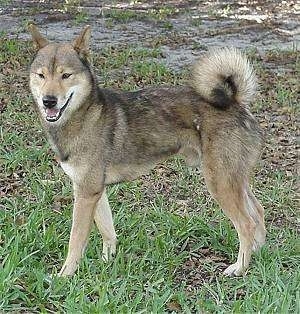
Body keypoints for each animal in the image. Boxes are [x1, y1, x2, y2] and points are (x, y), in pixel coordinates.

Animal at [28, 26, 266, 278]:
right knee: (258, 212)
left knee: (247, 224)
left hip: (220, 183)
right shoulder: (91, 190)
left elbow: (76, 239)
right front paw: (107, 263)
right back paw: (257, 254)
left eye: (66, 75)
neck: (85, 115)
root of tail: (236, 103)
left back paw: (240, 267)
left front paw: (65, 275)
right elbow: (107, 231)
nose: (49, 101)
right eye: (41, 75)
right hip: (234, 180)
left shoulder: (86, 193)